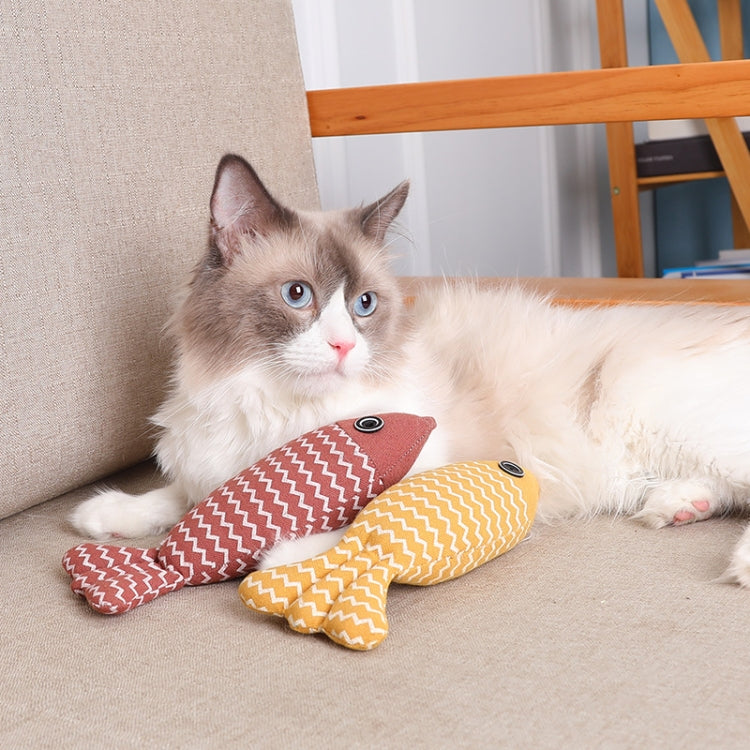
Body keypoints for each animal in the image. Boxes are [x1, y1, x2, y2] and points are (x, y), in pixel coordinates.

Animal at [70, 154, 750, 588]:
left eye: (364, 305)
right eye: (298, 295)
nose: (344, 347)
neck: (277, 408)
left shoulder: (425, 470)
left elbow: (346, 530)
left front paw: (274, 556)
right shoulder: (211, 467)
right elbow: (179, 500)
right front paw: (105, 517)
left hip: (662, 416)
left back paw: (736, 566)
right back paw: (675, 506)